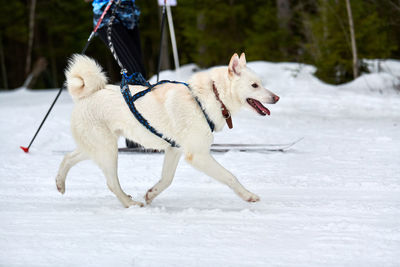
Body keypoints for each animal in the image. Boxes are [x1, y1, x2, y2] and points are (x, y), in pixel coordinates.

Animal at [56, 52, 280, 207]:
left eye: (261, 83)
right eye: (254, 85)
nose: (276, 97)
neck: (213, 97)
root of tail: (85, 95)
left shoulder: (174, 150)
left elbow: (166, 179)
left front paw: (151, 194)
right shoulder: (197, 155)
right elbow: (229, 176)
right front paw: (248, 195)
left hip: (96, 148)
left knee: (67, 158)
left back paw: (60, 184)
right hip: (108, 150)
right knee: (111, 183)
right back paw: (130, 204)